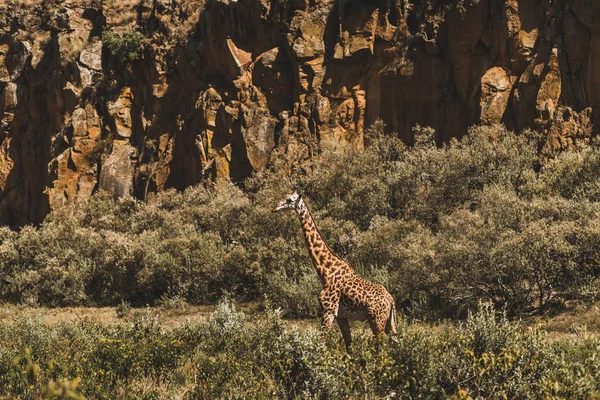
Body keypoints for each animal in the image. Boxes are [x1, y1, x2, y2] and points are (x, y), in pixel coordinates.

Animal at [274, 189, 396, 348]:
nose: (275, 208)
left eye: (289, 200)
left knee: (381, 348)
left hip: (376, 320)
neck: (325, 270)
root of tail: (391, 300)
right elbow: (349, 345)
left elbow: (321, 343)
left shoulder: (328, 310)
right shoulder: (341, 316)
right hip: (390, 323)